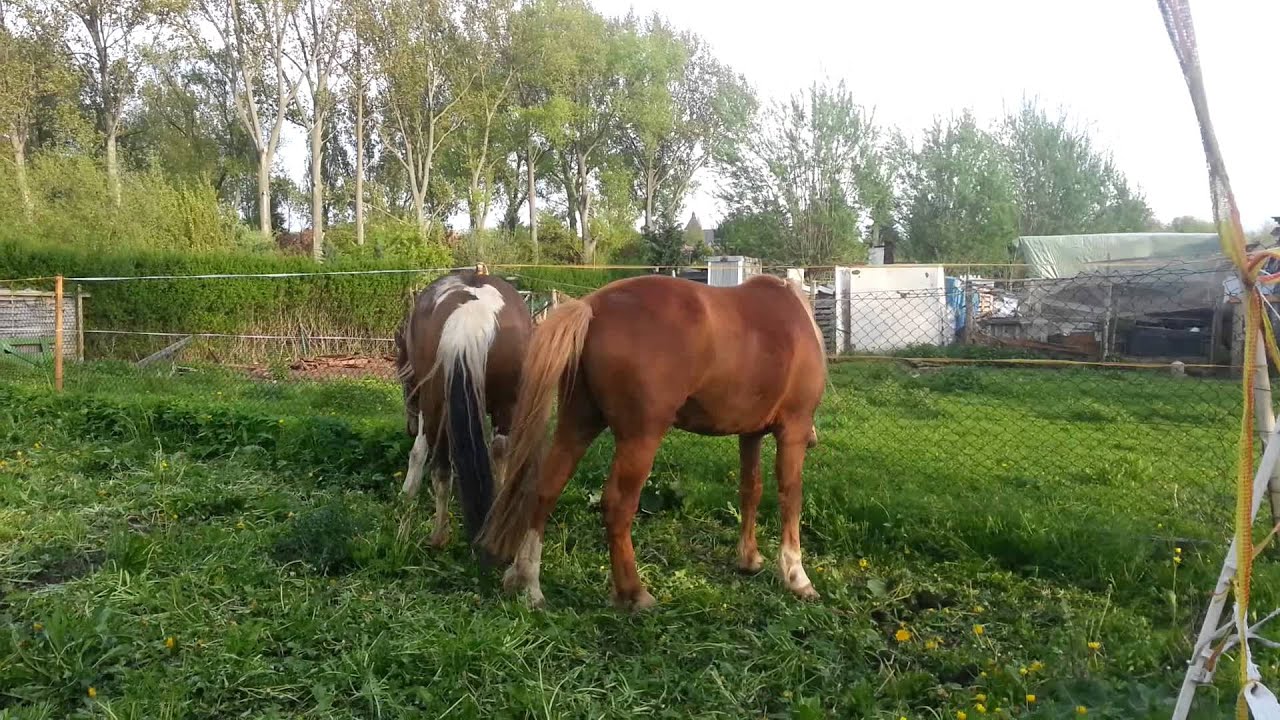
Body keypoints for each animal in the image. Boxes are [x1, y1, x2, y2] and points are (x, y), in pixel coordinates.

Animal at [393, 266, 533, 548]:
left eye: (404, 382)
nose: (409, 428)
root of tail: (471, 314)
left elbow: (418, 453)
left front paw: (407, 493)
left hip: (436, 407)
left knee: (440, 468)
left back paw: (438, 537)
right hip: (506, 406)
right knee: (500, 452)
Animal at [475, 273, 827, 610]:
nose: (814, 440)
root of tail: (593, 306)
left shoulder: (749, 433)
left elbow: (750, 490)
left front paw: (749, 558)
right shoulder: (793, 430)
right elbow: (790, 496)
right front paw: (796, 576)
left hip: (578, 424)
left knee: (545, 490)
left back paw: (527, 582)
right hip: (640, 438)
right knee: (617, 505)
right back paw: (634, 593)